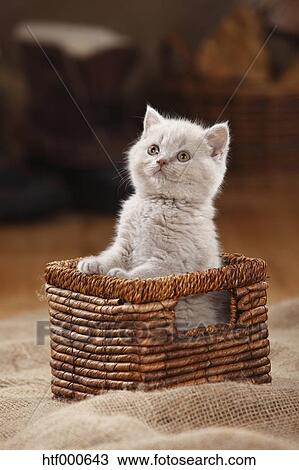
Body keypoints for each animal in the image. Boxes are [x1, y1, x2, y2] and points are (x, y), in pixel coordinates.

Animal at [77, 105, 230, 328]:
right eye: (153, 150)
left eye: (183, 156)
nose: (161, 160)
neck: (158, 203)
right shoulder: (125, 245)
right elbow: (112, 255)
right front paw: (93, 264)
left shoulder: (173, 263)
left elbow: (146, 274)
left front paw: (123, 276)